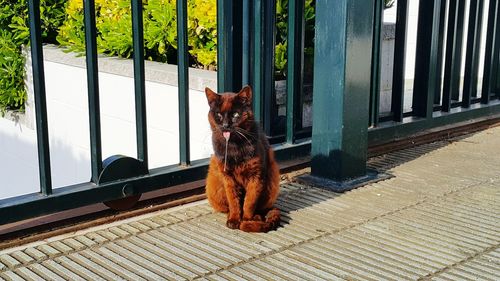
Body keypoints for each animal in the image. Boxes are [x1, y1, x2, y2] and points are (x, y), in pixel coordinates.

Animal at [203, 85, 282, 232]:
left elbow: (249, 202)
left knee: (260, 209)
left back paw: (256, 217)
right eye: (218, 115)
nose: (226, 125)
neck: (234, 148)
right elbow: (234, 201)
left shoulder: (256, 177)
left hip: (272, 177)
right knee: (227, 207)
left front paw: (246, 220)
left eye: (235, 114)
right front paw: (234, 220)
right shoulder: (228, 178)